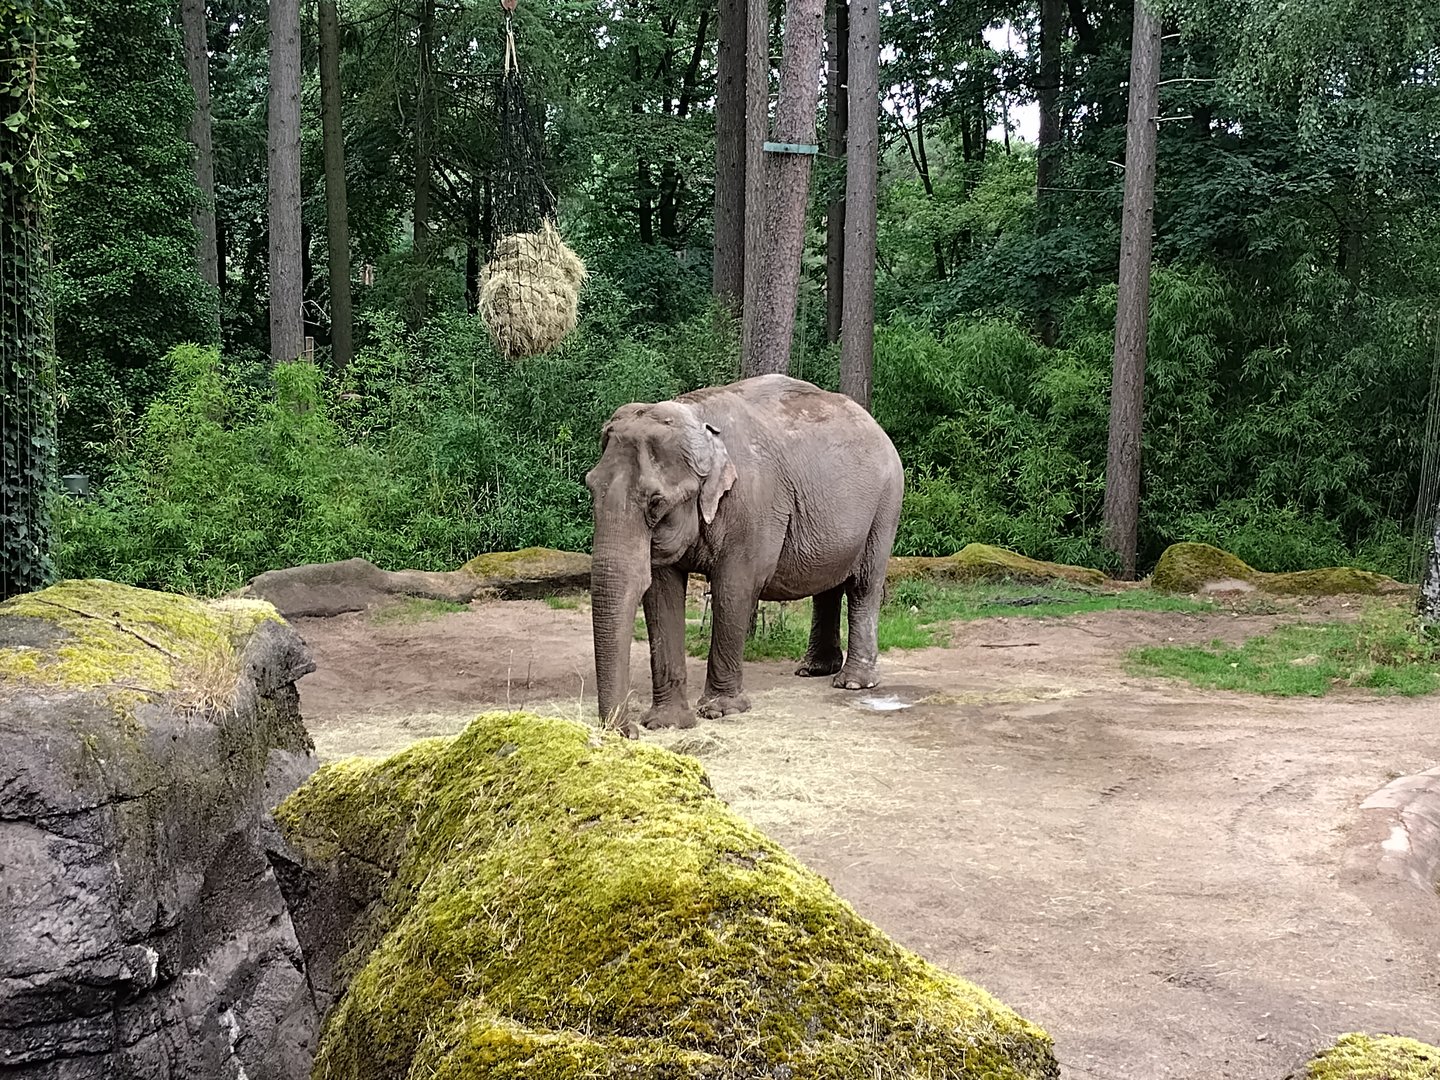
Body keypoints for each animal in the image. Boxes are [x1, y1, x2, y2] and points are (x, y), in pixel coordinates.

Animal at [585, 373, 904, 729]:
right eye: (590, 488)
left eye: (656, 502)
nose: (626, 731)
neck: (695, 415)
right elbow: (661, 594)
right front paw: (667, 723)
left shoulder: (753, 509)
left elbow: (733, 589)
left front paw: (720, 711)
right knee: (829, 586)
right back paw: (814, 670)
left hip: (886, 505)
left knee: (863, 585)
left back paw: (853, 683)